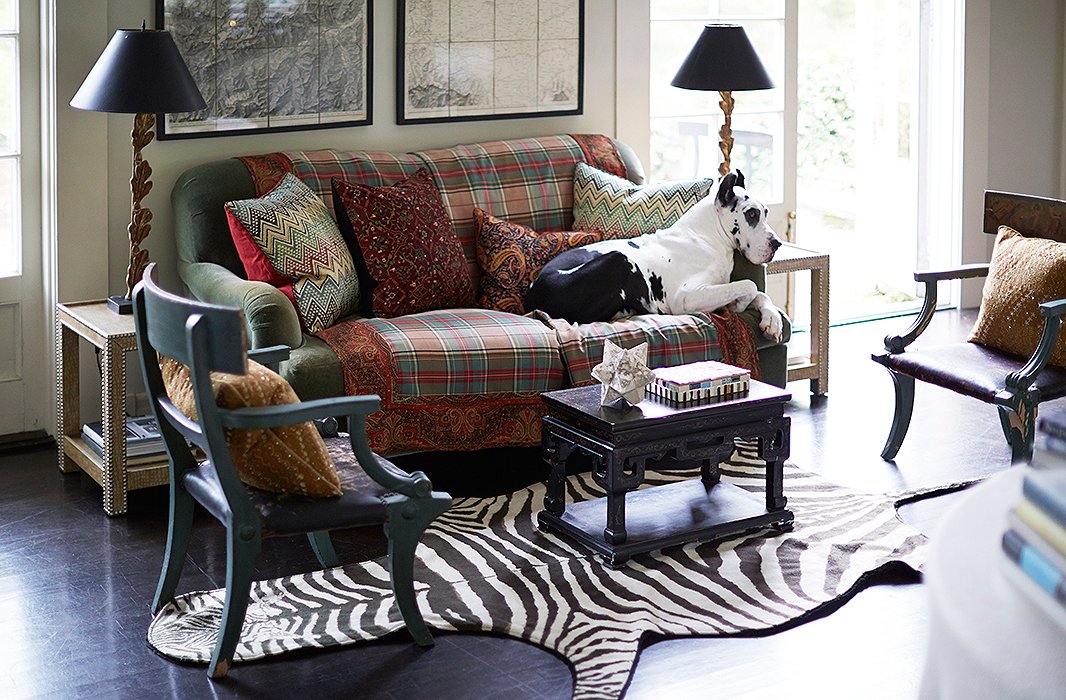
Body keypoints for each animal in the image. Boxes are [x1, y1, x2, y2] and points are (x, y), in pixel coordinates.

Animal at [524, 171, 784, 340]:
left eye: (766, 212)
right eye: (751, 214)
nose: (777, 243)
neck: (706, 236)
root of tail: (532, 294)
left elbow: (759, 292)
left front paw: (772, 320)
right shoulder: (685, 297)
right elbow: (749, 284)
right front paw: (740, 304)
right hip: (618, 259)